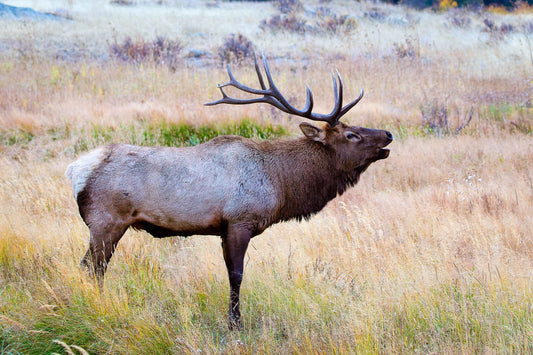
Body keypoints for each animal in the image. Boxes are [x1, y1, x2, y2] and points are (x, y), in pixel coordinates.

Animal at [65, 55, 390, 330]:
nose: (387, 134)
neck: (281, 183)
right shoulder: (239, 221)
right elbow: (237, 275)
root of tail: (76, 170)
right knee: (91, 267)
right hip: (106, 221)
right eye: (351, 134)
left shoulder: (223, 228)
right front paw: (236, 323)